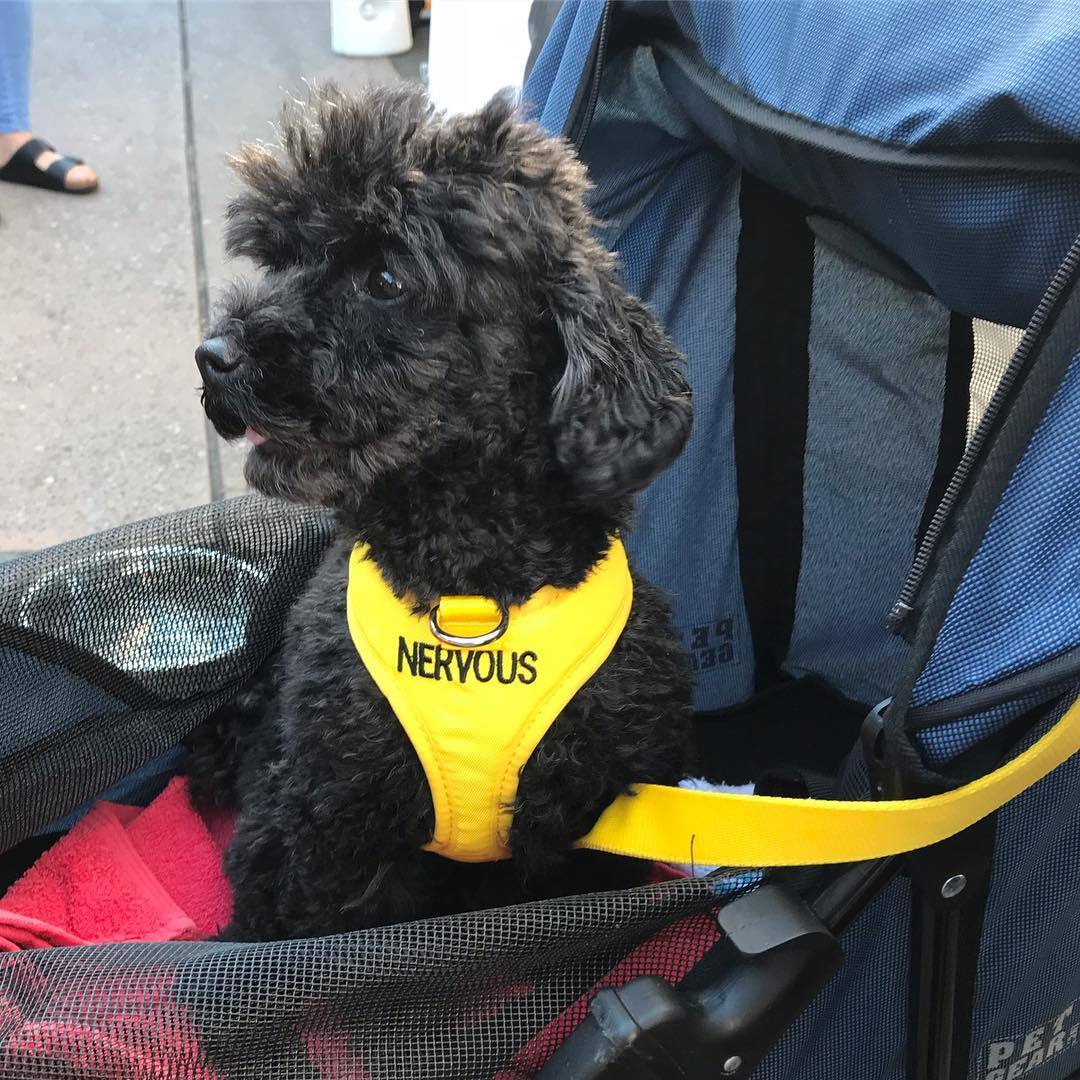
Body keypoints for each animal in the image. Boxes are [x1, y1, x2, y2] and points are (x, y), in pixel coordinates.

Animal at [192, 86, 691, 946]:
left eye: (386, 279)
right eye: (281, 260)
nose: (215, 355)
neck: (467, 594)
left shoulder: (589, 830)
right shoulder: (332, 818)